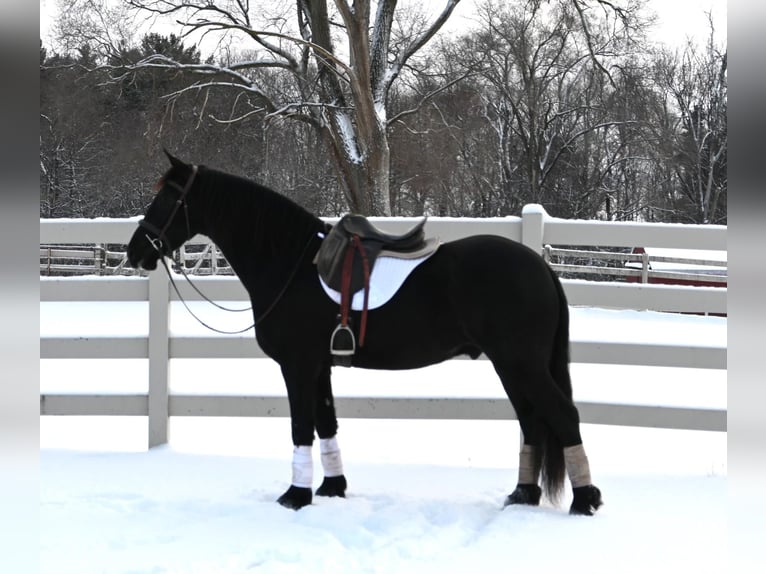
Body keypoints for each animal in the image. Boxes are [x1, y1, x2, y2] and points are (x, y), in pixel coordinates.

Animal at [129, 153, 604, 516]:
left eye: (169, 196)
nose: (136, 251)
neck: (291, 263)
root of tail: (540, 266)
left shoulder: (297, 365)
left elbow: (301, 427)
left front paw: (295, 496)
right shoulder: (320, 367)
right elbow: (326, 423)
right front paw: (331, 488)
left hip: (521, 364)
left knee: (563, 416)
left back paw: (584, 501)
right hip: (512, 366)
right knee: (532, 422)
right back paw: (522, 495)